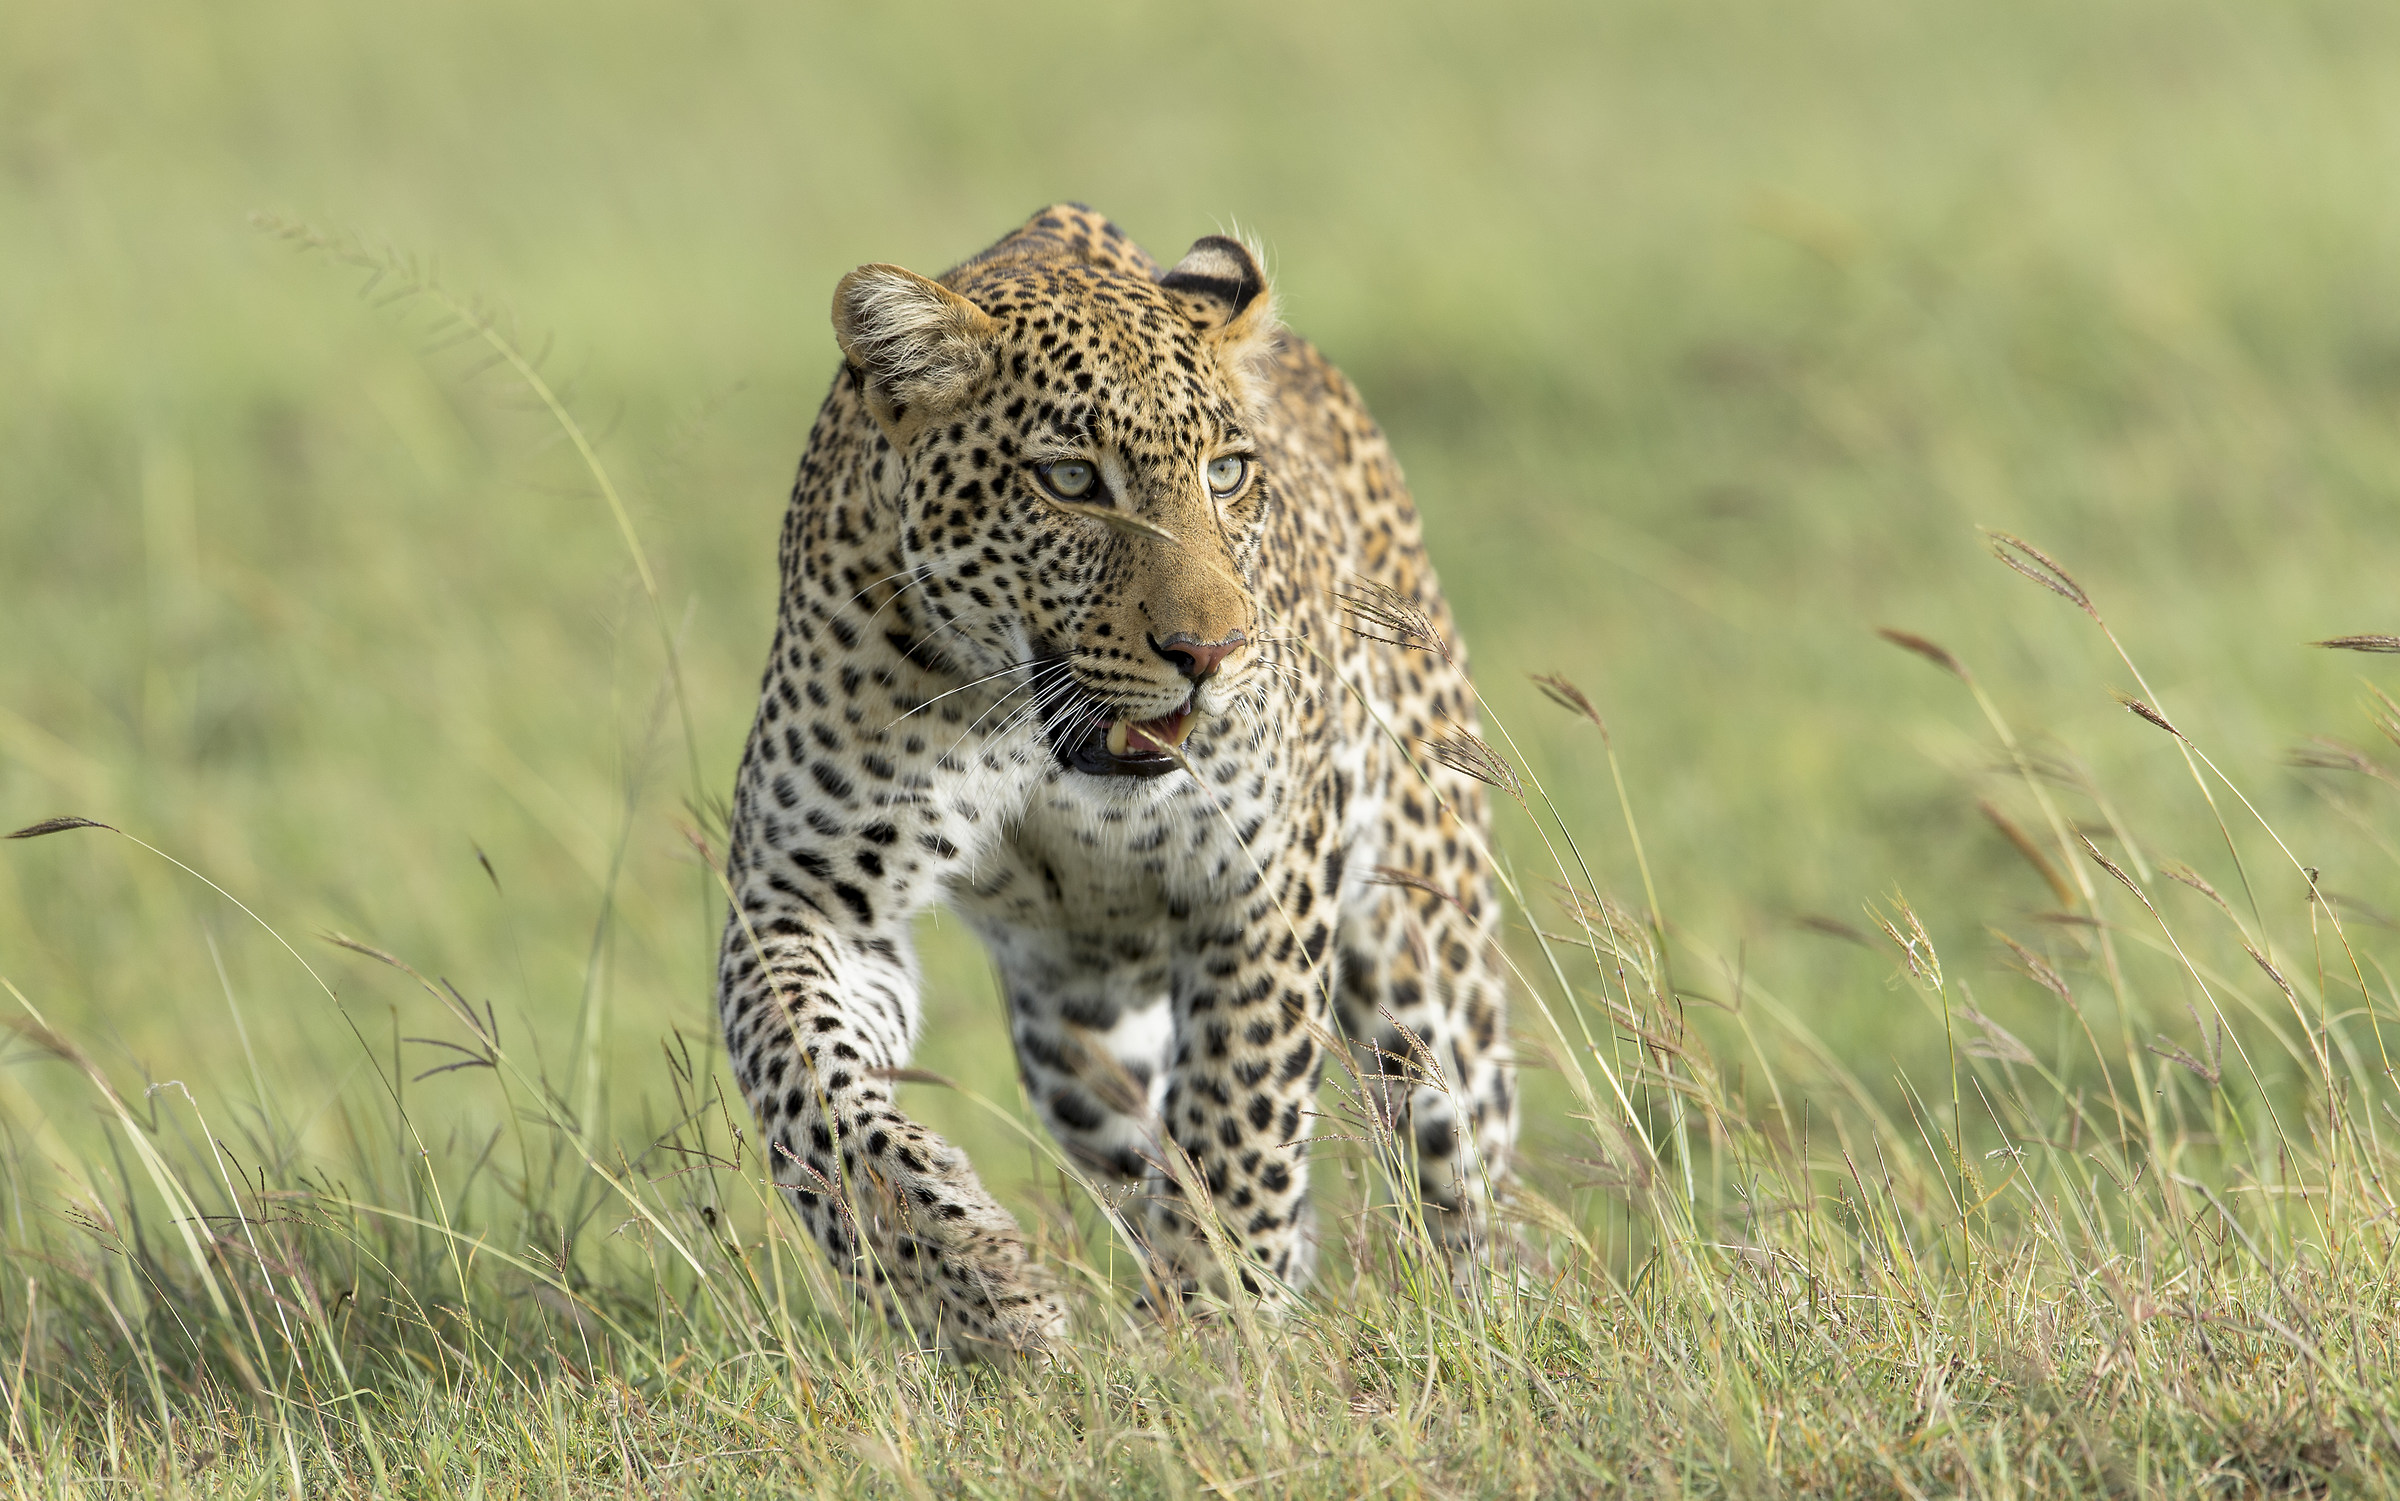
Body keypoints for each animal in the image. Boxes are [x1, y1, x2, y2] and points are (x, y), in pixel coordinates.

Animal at [715, 203, 1515, 1360]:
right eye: (1070, 481)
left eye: (1227, 473)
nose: (1212, 651)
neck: (1029, 737)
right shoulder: (803, 894)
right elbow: (811, 1092)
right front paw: (978, 1288)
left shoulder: (1265, 882)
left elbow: (1238, 1124)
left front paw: (1213, 1335)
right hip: (1074, 1040)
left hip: (1425, 951)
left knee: (1465, 1165)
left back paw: (1502, 1316)